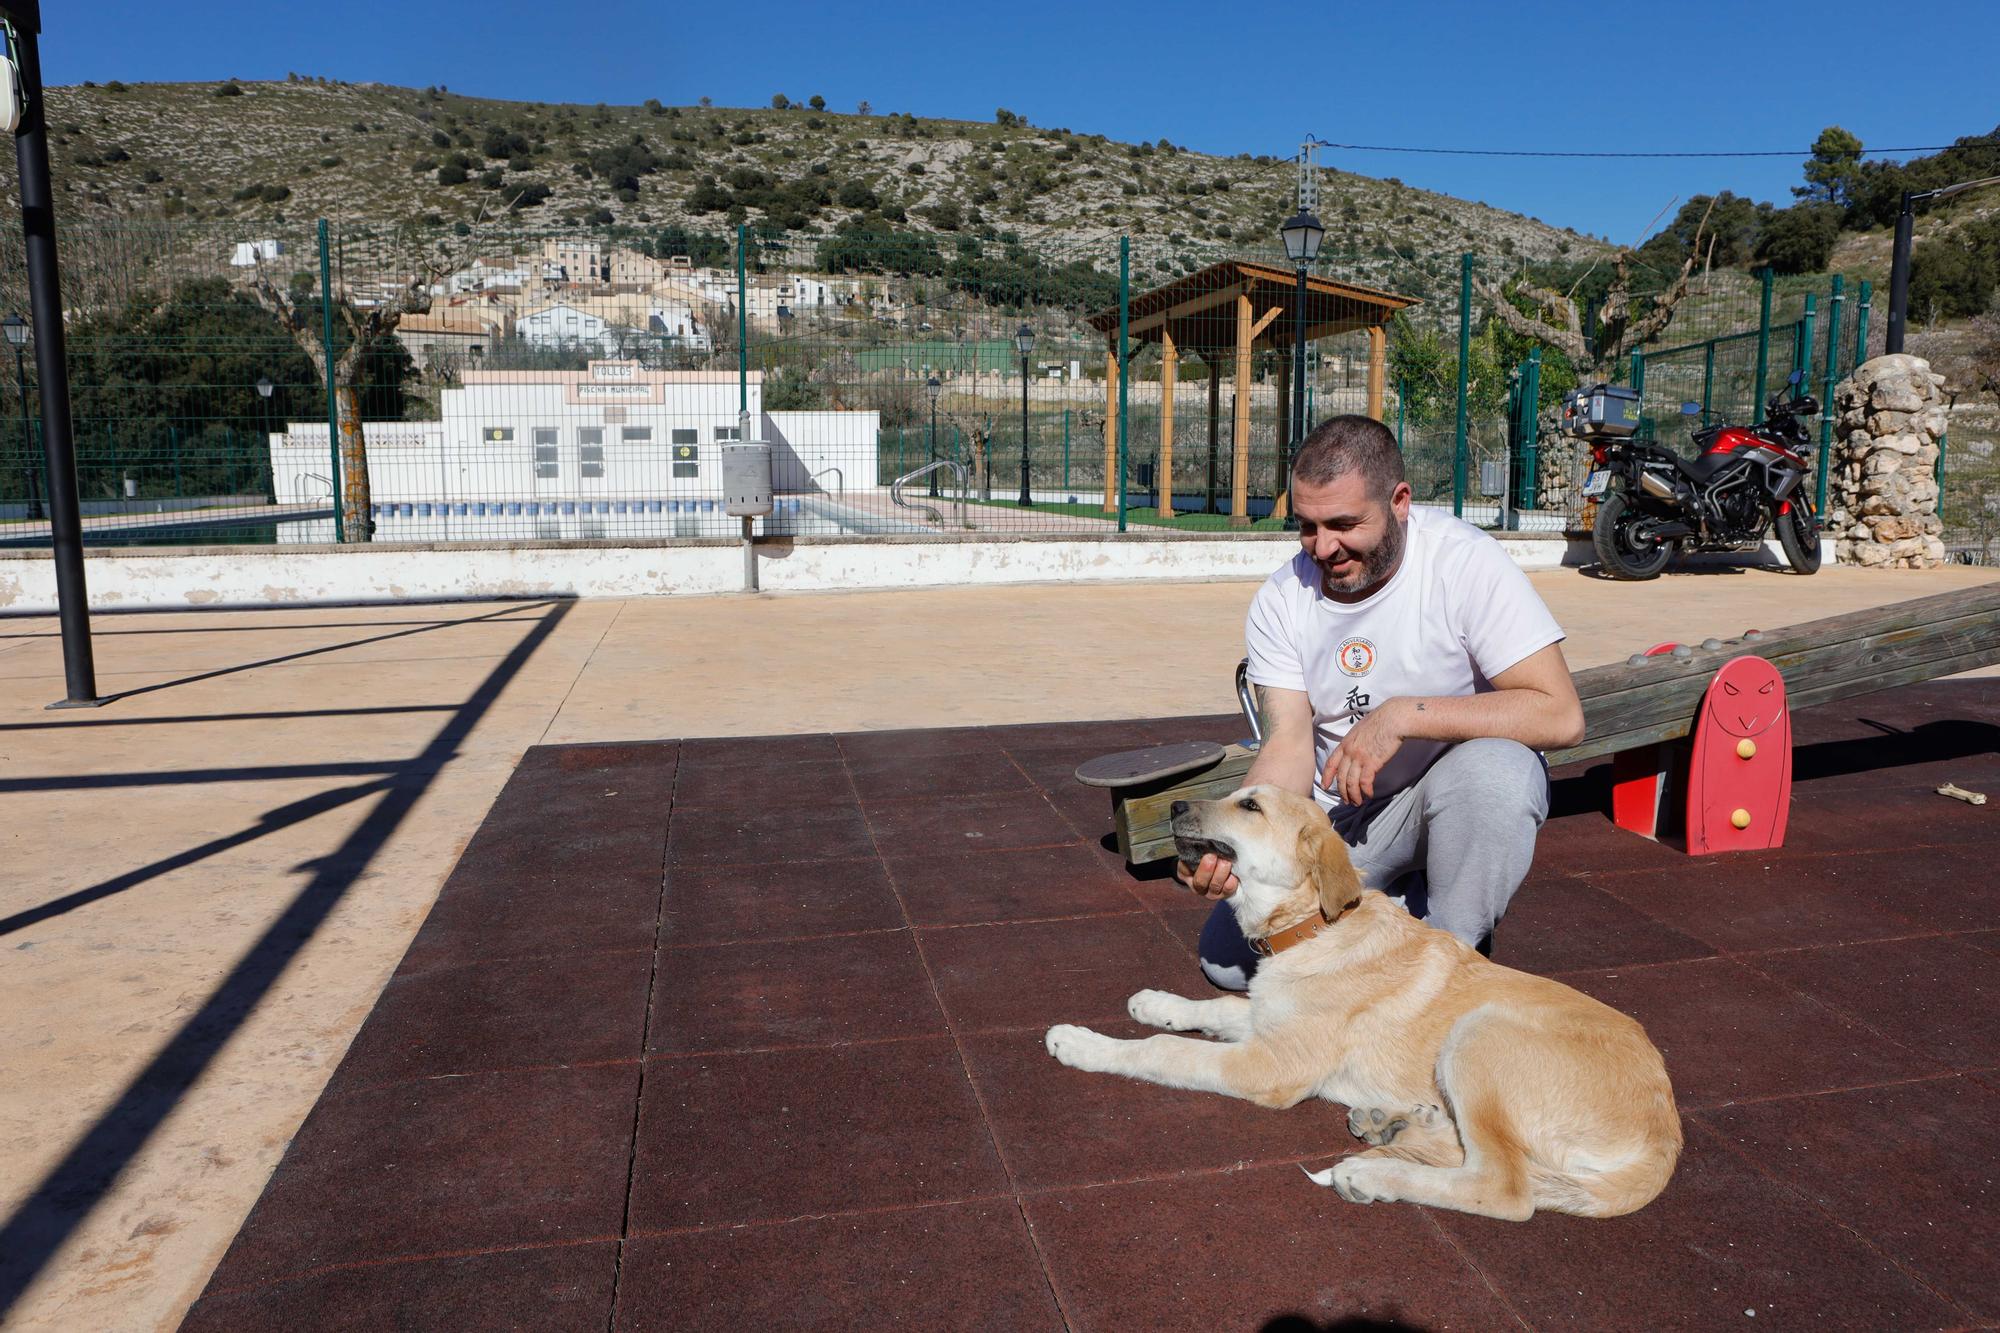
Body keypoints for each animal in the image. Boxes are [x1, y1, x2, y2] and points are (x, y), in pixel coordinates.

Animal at [1040, 784, 1680, 1216]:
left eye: (1251, 807)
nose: (1173, 807)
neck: (1313, 928)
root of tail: (1665, 1138)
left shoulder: (1269, 1066)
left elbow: (1162, 1051)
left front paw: (1082, 1043)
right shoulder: (1267, 1021)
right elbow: (1216, 1008)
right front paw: (1155, 1002)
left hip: (1480, 1032)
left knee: (1505, 1187)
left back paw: (1377, 1176)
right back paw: (1392, 1126)